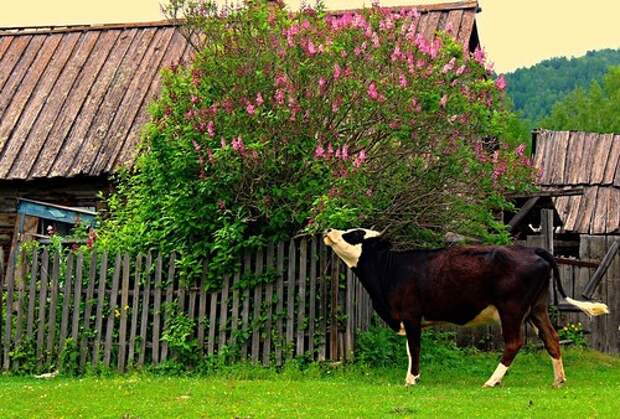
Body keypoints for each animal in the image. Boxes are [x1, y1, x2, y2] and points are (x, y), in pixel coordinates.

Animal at [324, 228, 612, 388]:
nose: (328, 230)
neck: (391, 271)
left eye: (354, 234)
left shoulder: (411, 315)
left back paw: (492, 381)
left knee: (514, 343)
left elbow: (414, 349)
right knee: (551, 339)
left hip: (511, 308)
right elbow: (410, 349)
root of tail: (533, 250)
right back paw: (558, 380)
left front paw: (411, 380)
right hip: (537, 308)